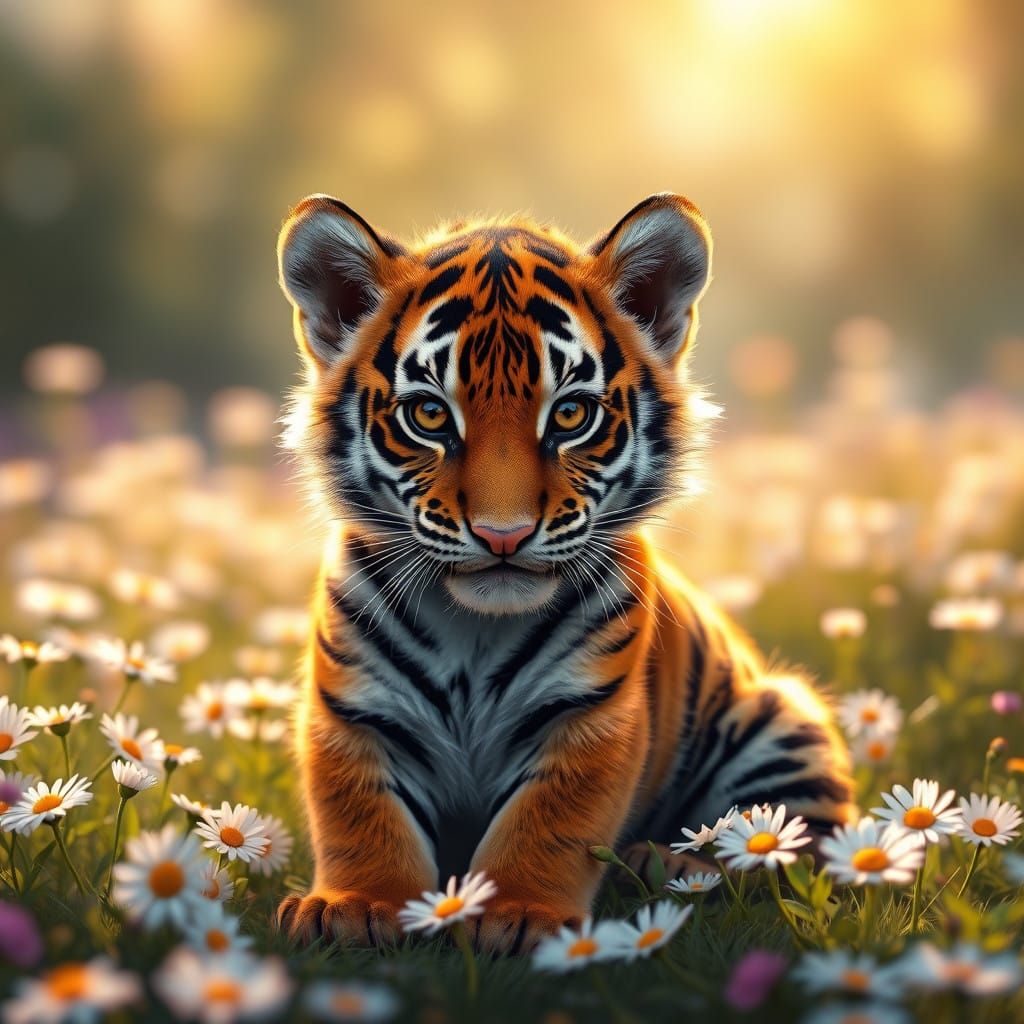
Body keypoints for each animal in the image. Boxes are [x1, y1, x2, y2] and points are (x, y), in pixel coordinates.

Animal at [274, 191, 855, 953]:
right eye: (429, 414)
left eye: (572, 414)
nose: (504, 533)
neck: (474, 631)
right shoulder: (356, 709)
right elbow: (360, 814)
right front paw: (355, 906)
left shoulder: (590, 714)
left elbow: (548, 820)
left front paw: (521, 915)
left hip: (784, 725)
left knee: (786, 850)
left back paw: (669, 863)